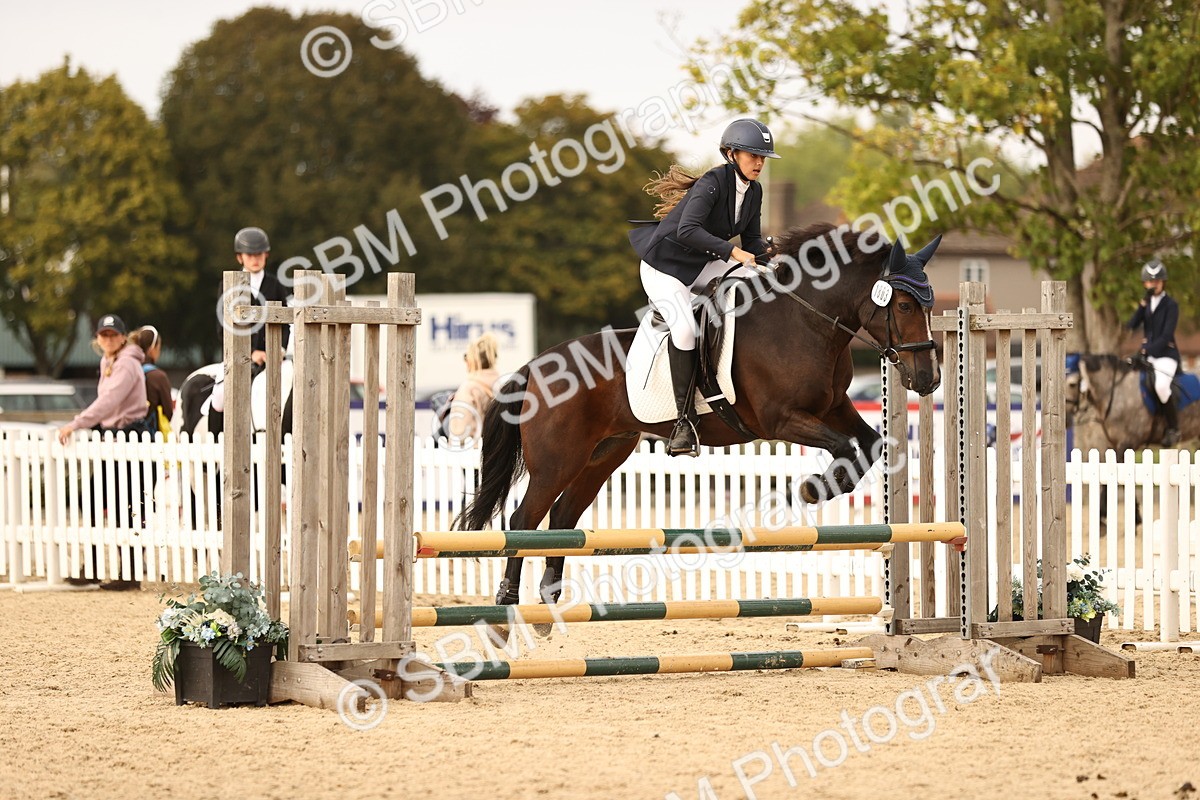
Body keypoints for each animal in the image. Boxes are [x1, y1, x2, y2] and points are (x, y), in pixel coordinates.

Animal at [457, 222, 943, 606]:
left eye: (930, 305)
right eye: (903, 306)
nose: (929, 379)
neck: (807, 323)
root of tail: (535, 366)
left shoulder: (834, 406)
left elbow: (870, 444)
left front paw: (824, 486)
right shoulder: (781, 419)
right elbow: (844, 446)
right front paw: (813, 488)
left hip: (602, 455)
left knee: (562, 517)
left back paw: (550, 596)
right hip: (558, 460)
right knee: (523, 520)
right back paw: (508, 599)